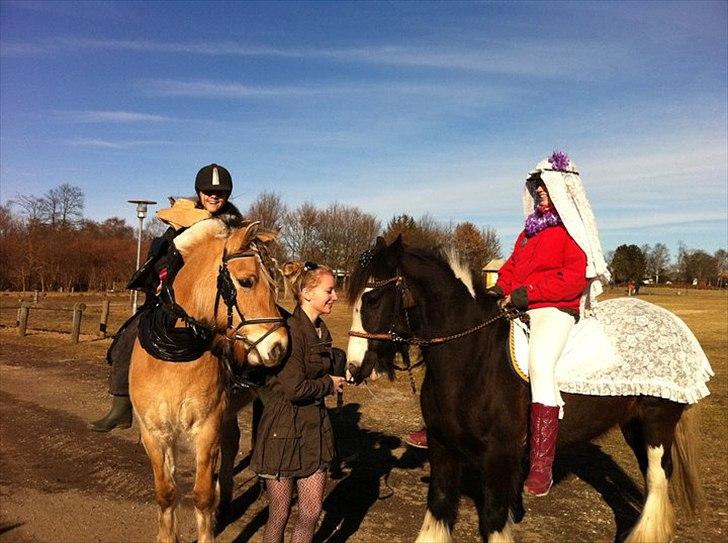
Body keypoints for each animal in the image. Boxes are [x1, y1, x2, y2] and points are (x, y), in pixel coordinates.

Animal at [129, 218, 288, 543]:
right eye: (247, 281)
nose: (279, 347)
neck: (174, 360)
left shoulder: (207, 428)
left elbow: (202, 495)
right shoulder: (153, 433)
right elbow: (166, 492)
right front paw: (167, 535)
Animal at [346, 237, 712, 543]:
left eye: (373, 297)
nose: (352, 368)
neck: (473, 358)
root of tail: (673, 322)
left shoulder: (499, 455)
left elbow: (494, 517)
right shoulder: (442, 445)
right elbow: (438, 504)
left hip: (657, 421)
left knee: (659, 476)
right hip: (634, 424)